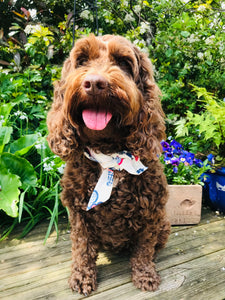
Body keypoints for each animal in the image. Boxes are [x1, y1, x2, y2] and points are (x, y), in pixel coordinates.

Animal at [47, 34, 171, 296]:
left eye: (123, 62)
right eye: (82, 60)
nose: (95, 83)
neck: (109, 154)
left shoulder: (152, 213)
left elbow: (144, 248)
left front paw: (145, 274)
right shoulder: (78, 213)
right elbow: (82, 247)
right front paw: (82, 276)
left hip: (164, 223)